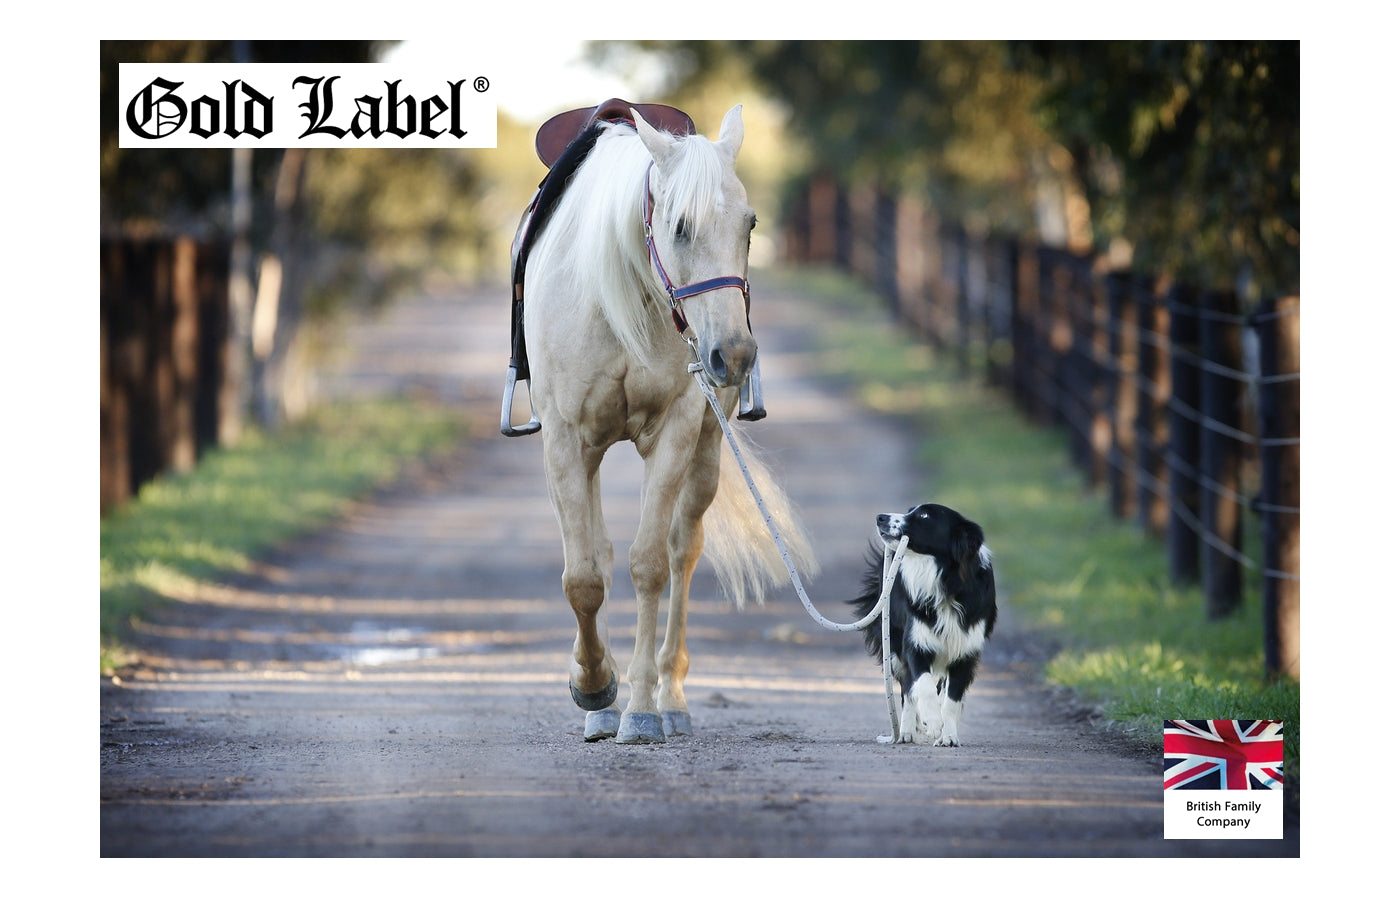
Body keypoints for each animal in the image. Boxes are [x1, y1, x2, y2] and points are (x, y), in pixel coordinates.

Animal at [521, 104, 818, 744]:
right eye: (680, 227)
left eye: (750, 226)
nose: (734, 356)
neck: (624, 299)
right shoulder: (566, 442)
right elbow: (583, 576)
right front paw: (594, 687)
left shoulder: (676, 432)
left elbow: (650, 564)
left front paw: (639, 707)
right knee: (599, 553)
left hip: (706, 448)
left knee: (684, 549)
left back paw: (671, 696)